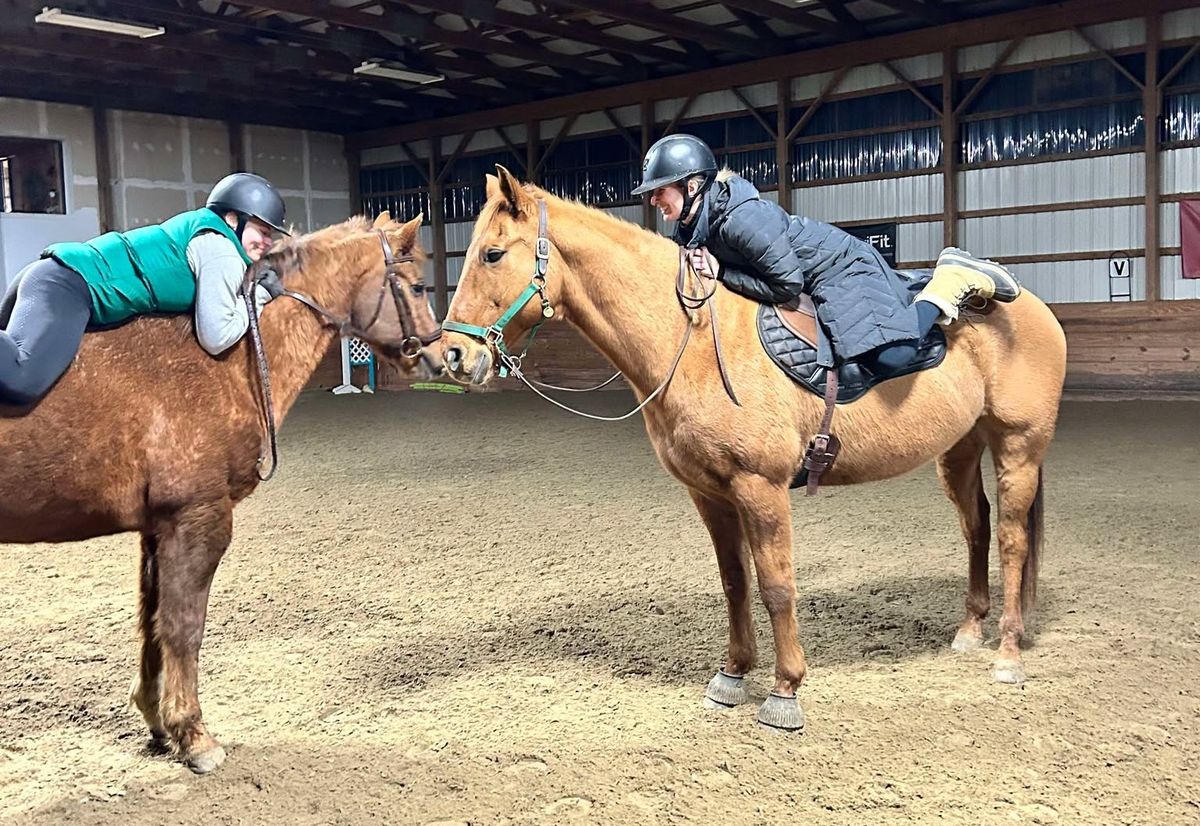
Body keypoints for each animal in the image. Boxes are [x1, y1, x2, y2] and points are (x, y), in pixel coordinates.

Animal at [0, 210, 441, 773]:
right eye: (418, 285)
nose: (445, 354)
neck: (233, 364)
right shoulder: (197, 519)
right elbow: (184, 625)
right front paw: (194, 736)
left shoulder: (157, 529)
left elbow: (152, 622)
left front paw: (157, 721)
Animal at [441, 168, 1070, 729]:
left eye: (492, 254)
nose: (451, 355)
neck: (692, 339)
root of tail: (1033, 308)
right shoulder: (711, 494)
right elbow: (735, 583)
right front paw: (733, 675)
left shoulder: (761, 488)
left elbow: (776, 586)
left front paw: (785, 691)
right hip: (959, 451)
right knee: (977, 527)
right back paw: (969, 631)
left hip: (1019, 447)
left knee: (1011, 539)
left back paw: (1007, 654)